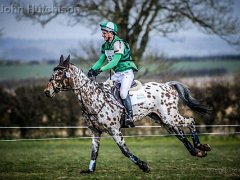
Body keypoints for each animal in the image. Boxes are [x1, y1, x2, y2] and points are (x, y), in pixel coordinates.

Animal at [44, 54, 211, 173]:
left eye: (59, 74)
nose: (46, 92)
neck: (92, 98)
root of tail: (167, 85)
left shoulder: (114, 130)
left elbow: (124, 151)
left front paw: (144, 166)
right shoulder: (95, 131)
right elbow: (94, 152)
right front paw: (90, 170)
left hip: (170, 117)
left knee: (190, 120)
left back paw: (201, 146)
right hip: (163, 120)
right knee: (180, 134)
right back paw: (197, 152)